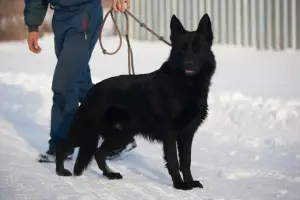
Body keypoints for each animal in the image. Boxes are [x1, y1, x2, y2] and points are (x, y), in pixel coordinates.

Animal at [55, 12, 217, 191]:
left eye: (198, 48)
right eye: (182, 49)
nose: (189, 63)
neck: (186, 84)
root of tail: (92, 90)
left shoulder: (187, 135)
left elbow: (186, 162)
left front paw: (190, 182)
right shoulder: (170, 133)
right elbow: (174, 161)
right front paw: (179, 184)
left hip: (122, 135)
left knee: (98, 153)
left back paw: (110, 174)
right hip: (89, 131)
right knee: (62, 144)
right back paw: (60, 171)